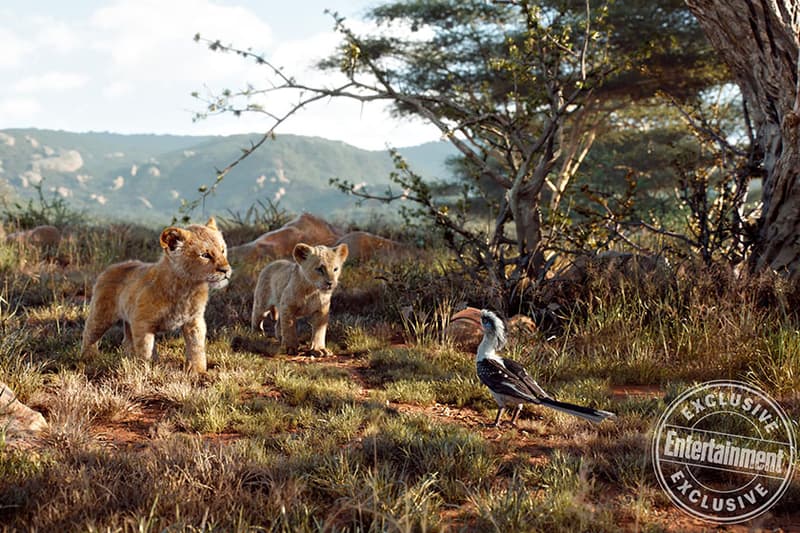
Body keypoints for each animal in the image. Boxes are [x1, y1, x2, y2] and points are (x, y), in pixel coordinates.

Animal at [80, 218, 231, 373]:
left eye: (223, 250)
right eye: (205, 255)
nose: (226, 270)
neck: (187, 289)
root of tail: (110, 268)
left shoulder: (194, 321)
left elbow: (196, 348)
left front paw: (198, 372)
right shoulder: (142, 323)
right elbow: (145, 350)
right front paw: (144, 370)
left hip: (128, 319)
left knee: (127, 342)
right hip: (101, 315)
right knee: (89, 335)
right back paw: (88, 359)